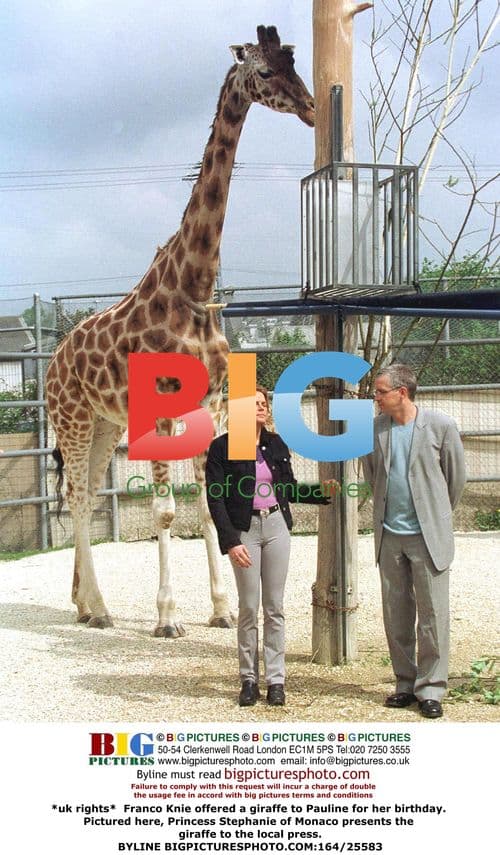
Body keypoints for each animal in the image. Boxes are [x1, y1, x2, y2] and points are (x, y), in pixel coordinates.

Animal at [45, 25, 315, 638]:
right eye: (265, 71)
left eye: (295, 61)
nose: (312, 108)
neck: (193, 284)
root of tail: (51, 362)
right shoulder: (163, 407)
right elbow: (167, 510)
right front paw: (168, 618)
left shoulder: (208, 405)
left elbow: (209, 504)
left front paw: (219, 609)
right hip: (71, 418)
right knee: (77, 497)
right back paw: (98, 607)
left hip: (102, 424)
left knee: (85, 490)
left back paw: (83, 603)